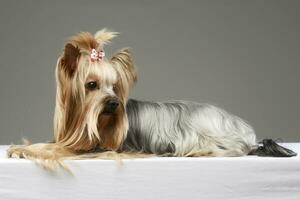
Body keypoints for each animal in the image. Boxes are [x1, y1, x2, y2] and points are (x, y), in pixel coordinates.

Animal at [6, 28, 296, 169]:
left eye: (115, 86)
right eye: (91, 85)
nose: (115, 103)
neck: (89, 122)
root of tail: (245, 129)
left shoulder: (99, 148)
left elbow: (57, 150)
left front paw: (24, 150)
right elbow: (51, 144)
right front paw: (20, 148)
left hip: (214, 137)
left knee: (233, 150)